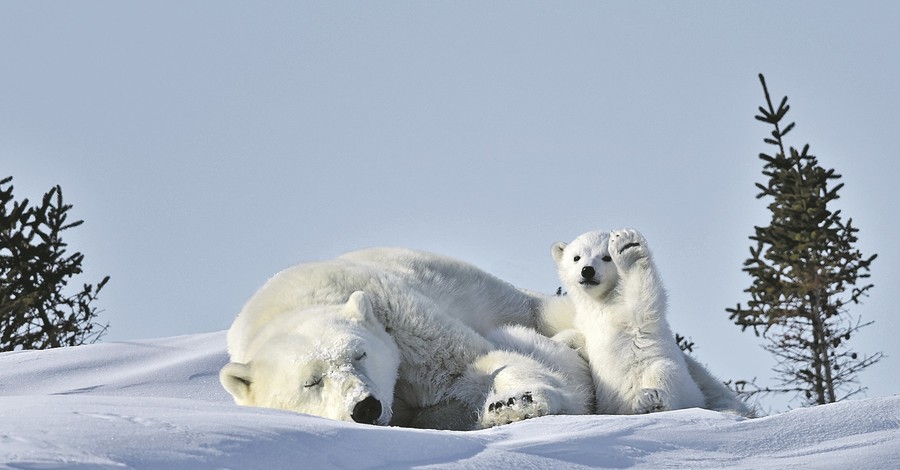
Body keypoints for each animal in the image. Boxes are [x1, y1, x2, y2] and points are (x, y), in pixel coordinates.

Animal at [221, 248, 596, 432]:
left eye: (360, 354)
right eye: (311, 382)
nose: (365, 407)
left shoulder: (400, 320)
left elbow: (471, 365)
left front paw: (516, 404)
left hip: (512, 300)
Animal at [556, 228, 752, 414]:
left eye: (606, 257)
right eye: (576, 257)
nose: (587, 270)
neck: (601, 301)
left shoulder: (629, 313)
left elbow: (642, 299)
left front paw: (628, 248)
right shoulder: (585, 321)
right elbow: (579, 338)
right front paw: (562, 341)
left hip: (674, 379)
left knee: (664, 374)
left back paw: (651, 400)